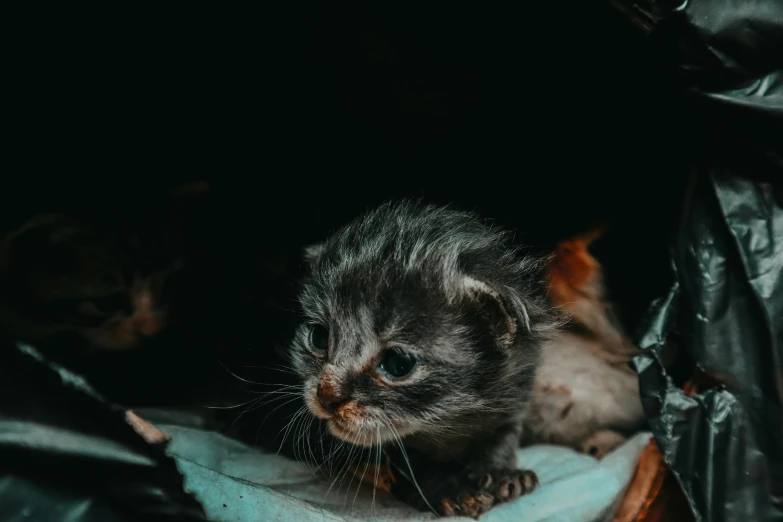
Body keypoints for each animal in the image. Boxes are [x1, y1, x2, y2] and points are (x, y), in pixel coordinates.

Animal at [290, 200, 560, 516]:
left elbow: (503, 436)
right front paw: (450, 491)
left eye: (398, 364)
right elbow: (417, 464)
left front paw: (500, 472)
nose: (327, 396)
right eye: (320, 337)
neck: (450, 424)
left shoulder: (514, 396)